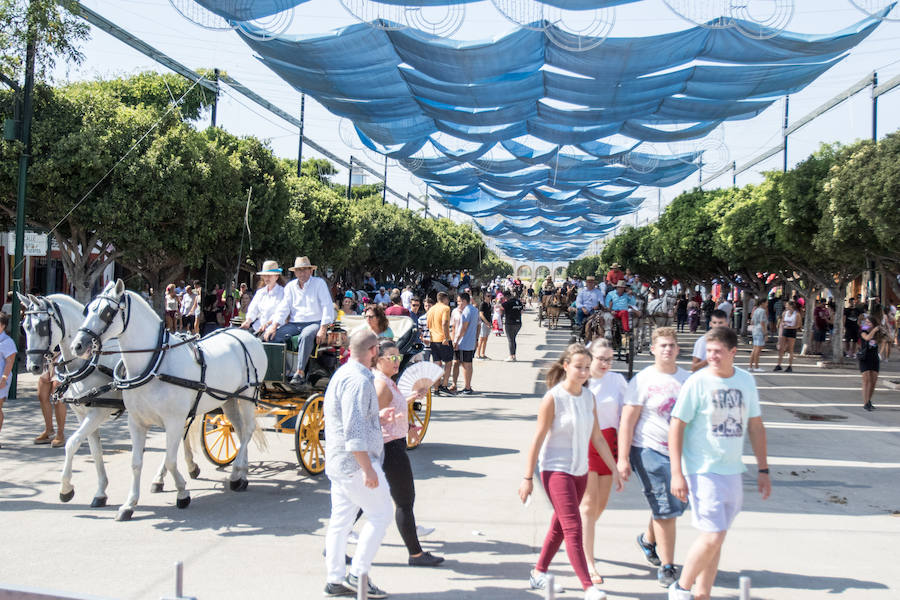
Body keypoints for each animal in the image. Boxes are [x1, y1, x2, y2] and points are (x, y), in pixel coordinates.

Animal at [18, 292, 202, 508]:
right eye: (25, 326)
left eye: (41, 327)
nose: (33, 366)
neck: (89, 363)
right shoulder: (83, 414)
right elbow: (95, 451)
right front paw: (100, 492)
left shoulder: (99, 412)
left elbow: (72, 443)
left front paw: (66, 488)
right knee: (181, 434)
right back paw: (185, 469)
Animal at [70, 282, 268, 520]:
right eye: (87, 310)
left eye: (107, 312)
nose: (77, 345)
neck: (155, 364)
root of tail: (247, 335)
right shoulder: (136, 422)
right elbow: (137, 463)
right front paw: (129, 504)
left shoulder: (174, 420)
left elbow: (171, 460)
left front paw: (182, 493)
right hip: (229, 399)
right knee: (238, 429)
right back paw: (242, 472)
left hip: (248, 396)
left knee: (247, 431)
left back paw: (236, 475)